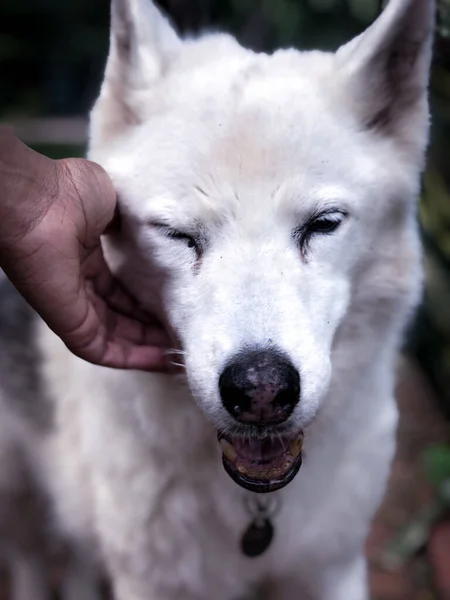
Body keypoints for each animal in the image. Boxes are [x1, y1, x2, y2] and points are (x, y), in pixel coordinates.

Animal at [0, 0, 434, 596]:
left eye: (324, 224)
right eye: (177, 234)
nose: (261, 391)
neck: (256, 513)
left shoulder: (333, 568)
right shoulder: (151, 581)